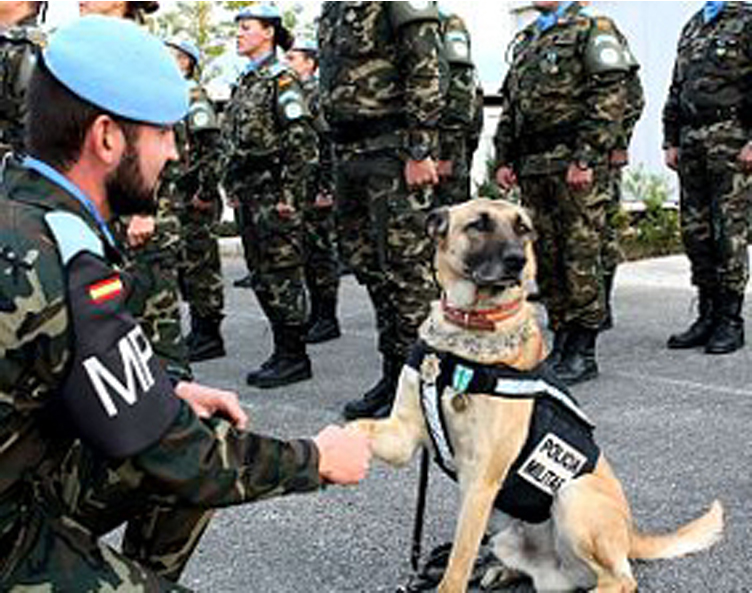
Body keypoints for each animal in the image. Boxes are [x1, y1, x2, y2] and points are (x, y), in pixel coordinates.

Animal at [356, 200, 724, 592]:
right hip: (504, 529)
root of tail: (630, 534)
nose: (517, 260)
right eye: (478, 225)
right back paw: (501, 571)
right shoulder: (402, 435)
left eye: (522, 229)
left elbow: (458, 562)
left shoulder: (480, 483)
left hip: (572, 493)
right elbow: (359, 429)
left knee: (621, 579)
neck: (468, 331)